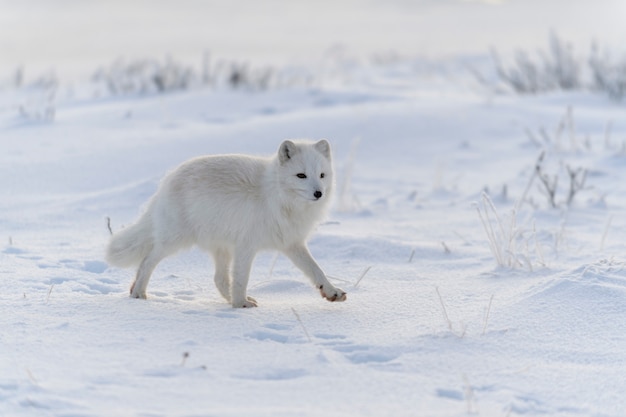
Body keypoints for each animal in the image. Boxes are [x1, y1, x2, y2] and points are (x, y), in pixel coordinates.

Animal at [104, 139, 344, 306]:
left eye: (322, 175)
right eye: (301, 175)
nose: (319, 193)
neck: (278, 197)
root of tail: (165, 183)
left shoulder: (291, 243)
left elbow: (316, 270)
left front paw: (332, 291)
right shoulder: (246, 246)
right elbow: (241, 279)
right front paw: (240, 305)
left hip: (221, 247)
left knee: (218, 278)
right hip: (175, 241)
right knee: (147, 261)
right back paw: (138, 292)